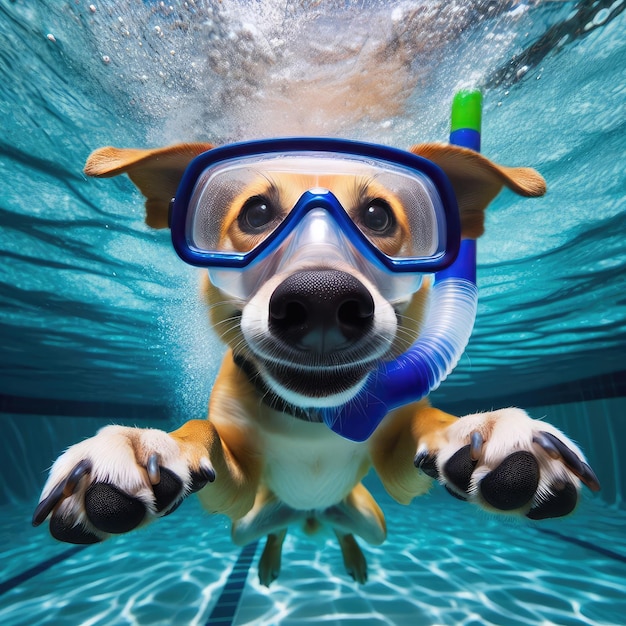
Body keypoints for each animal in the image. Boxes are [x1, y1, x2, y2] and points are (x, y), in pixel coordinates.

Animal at [31, 139, 596, 584]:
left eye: (378, 216)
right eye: (256, 213)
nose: (321, 299)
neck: (313, 419)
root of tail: (314, 513)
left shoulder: (396, 471)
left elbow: (431, 425)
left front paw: (485, 429)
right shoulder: (237, 491)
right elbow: (203, 432)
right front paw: (141, 444)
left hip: (374, 521)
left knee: (350, 533)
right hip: (246, 523)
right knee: (272, 531)